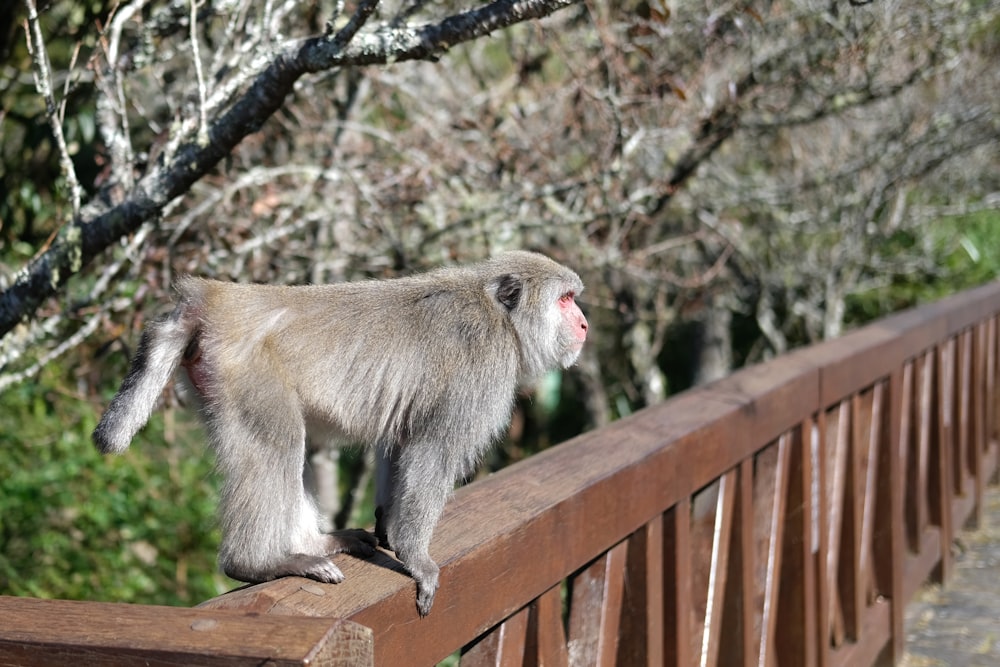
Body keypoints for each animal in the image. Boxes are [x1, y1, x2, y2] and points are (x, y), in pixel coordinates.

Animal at [93, 250, 584, 616]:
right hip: (246, 373)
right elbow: (432, 453)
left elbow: (400, 441)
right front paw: (417, 558)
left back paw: (319, 542)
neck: (499, 316)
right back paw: (258, 562)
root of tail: (213, 298)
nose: (583, 323)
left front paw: (387, 525)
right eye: (565, 299)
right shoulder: (481, 375)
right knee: (279, 443)